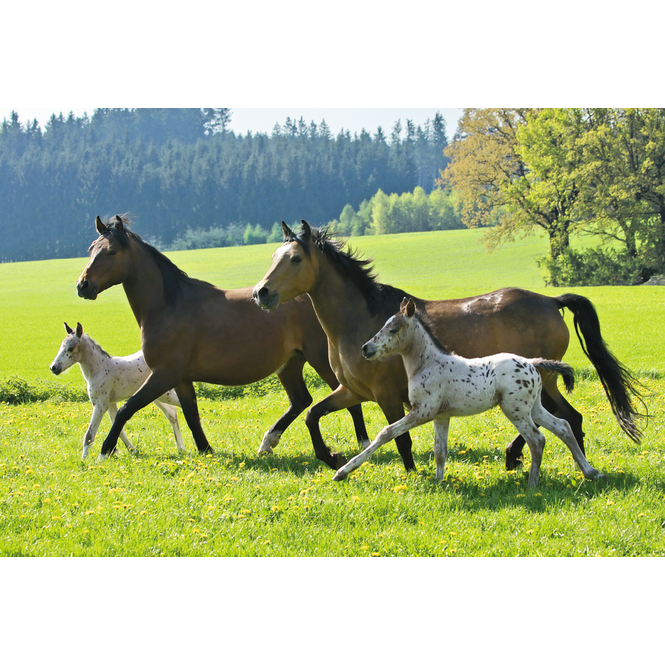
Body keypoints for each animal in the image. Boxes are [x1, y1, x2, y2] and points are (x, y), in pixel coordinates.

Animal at [50, 322, 185, 459]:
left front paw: (84, 460)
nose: (53, 368)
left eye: (70, 348)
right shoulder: (110, 404)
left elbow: (89, 435)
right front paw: (131, 450)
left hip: (165, 394)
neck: (100, 368)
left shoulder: (100, 404)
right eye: (61, 346)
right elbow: (119, 428)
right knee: (171, 413)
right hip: (156, 396)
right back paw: (181, 449)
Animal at [75, 215, 368, 462]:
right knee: (301, 401)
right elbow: (192, 415)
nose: (83, 285)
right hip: (290, 364)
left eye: (111, 251)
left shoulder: (164, 374)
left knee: (348, 398)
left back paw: (363, 445)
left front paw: (104, 452)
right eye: (91, 248)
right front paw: (206, 450)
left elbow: (127, 408)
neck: (169, 305)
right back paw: (267, 443)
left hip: (320, 360)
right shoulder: (181, 379)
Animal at [333, 298, 606, 488]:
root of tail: (532, 363)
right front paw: (439, 483)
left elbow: (386, 433)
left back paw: (532, 484)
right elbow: (439, 452)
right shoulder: (441, 416)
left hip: (516, 410)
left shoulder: (422, 412)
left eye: (393, 329)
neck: (428, 363)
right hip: (534, 407)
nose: (366, 348)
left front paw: (342, 471)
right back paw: (591, 472)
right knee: (563, 426)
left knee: (537, 440)